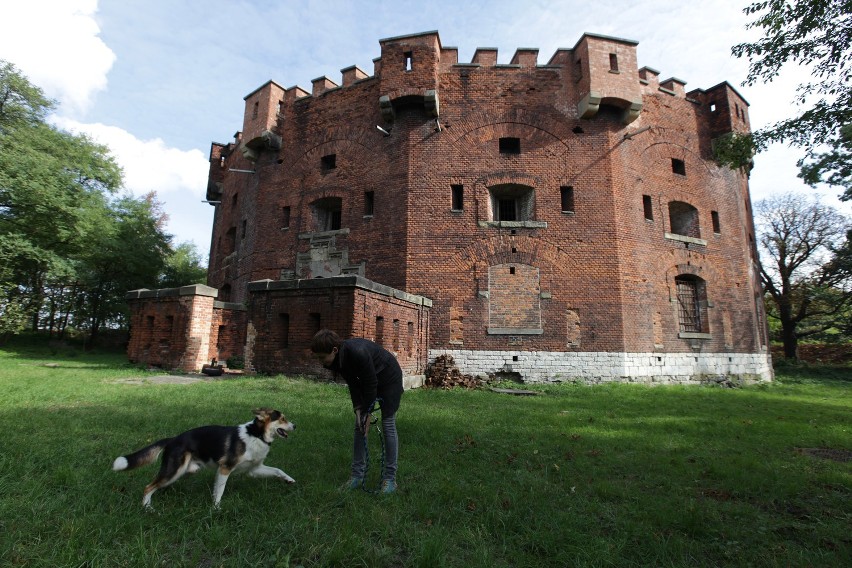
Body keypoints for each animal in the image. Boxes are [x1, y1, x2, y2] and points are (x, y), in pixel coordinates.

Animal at [112, 408, 296, 510]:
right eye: (282, 419)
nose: (295, 425)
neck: (257, 435)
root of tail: (172, 439)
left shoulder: (254, 469)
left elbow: (277, 470)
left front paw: (289, 480)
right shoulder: (225, 468)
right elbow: (219, 491)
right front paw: (216, 508)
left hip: (184, 471)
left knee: (158, 485)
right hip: (175, 470)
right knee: (148, 487)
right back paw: (147, 508)